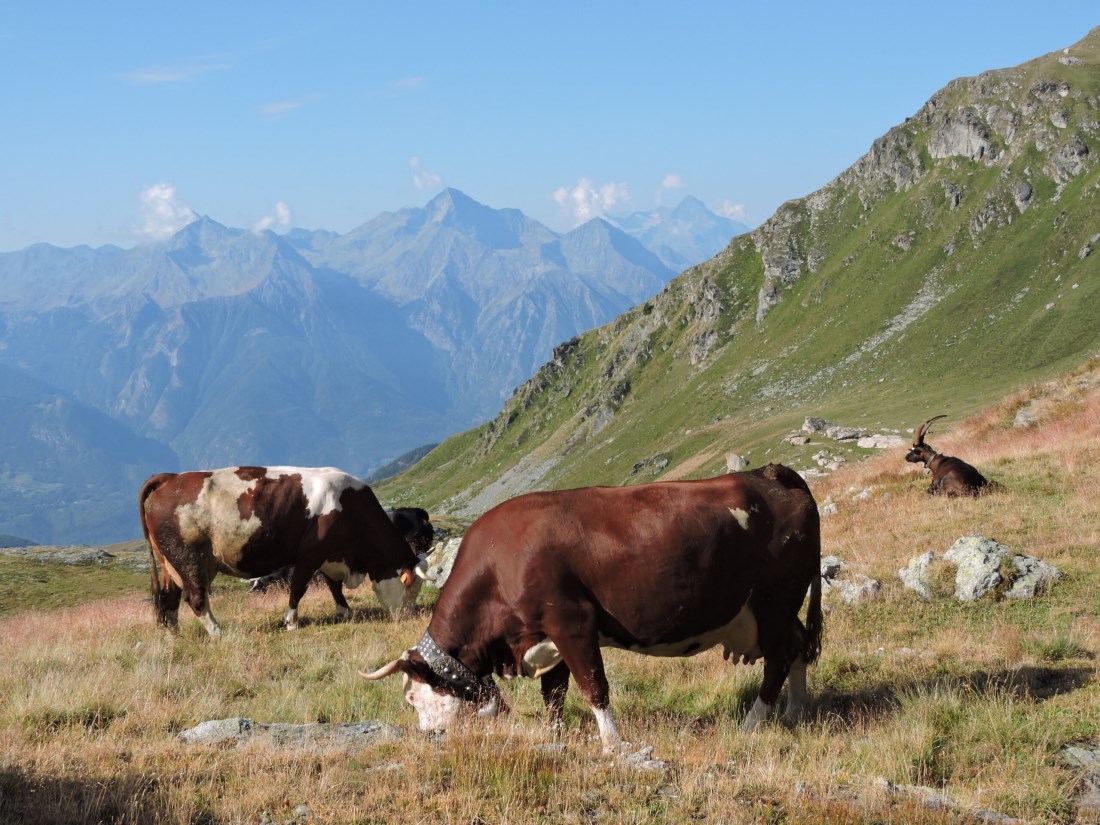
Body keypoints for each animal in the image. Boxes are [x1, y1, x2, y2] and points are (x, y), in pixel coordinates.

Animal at [138, 466, 429, 638]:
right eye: (410, 586)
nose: (409, 616)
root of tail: (170, 479)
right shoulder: (310, 554)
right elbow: (299, 587)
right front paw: (291, 621)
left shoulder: (331, 556)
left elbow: (334, 586)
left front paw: (344, 612)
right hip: (189, 559)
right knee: (195, 597)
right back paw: (218, 633)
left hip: (170, 563)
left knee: (169, 597)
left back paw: (174, 635)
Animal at [356, 466, 822, 756]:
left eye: (412, 696)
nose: (429, 735)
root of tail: (769, 474)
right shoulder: (546, 638)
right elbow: (554, 694)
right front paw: (555, 735)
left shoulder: (572, 623)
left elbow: (593, 686)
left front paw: (612, 744)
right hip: (772, 610)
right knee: (798, 646)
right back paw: (795, 711)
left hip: (774, 602)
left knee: (779, 660)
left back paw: (754, 723)